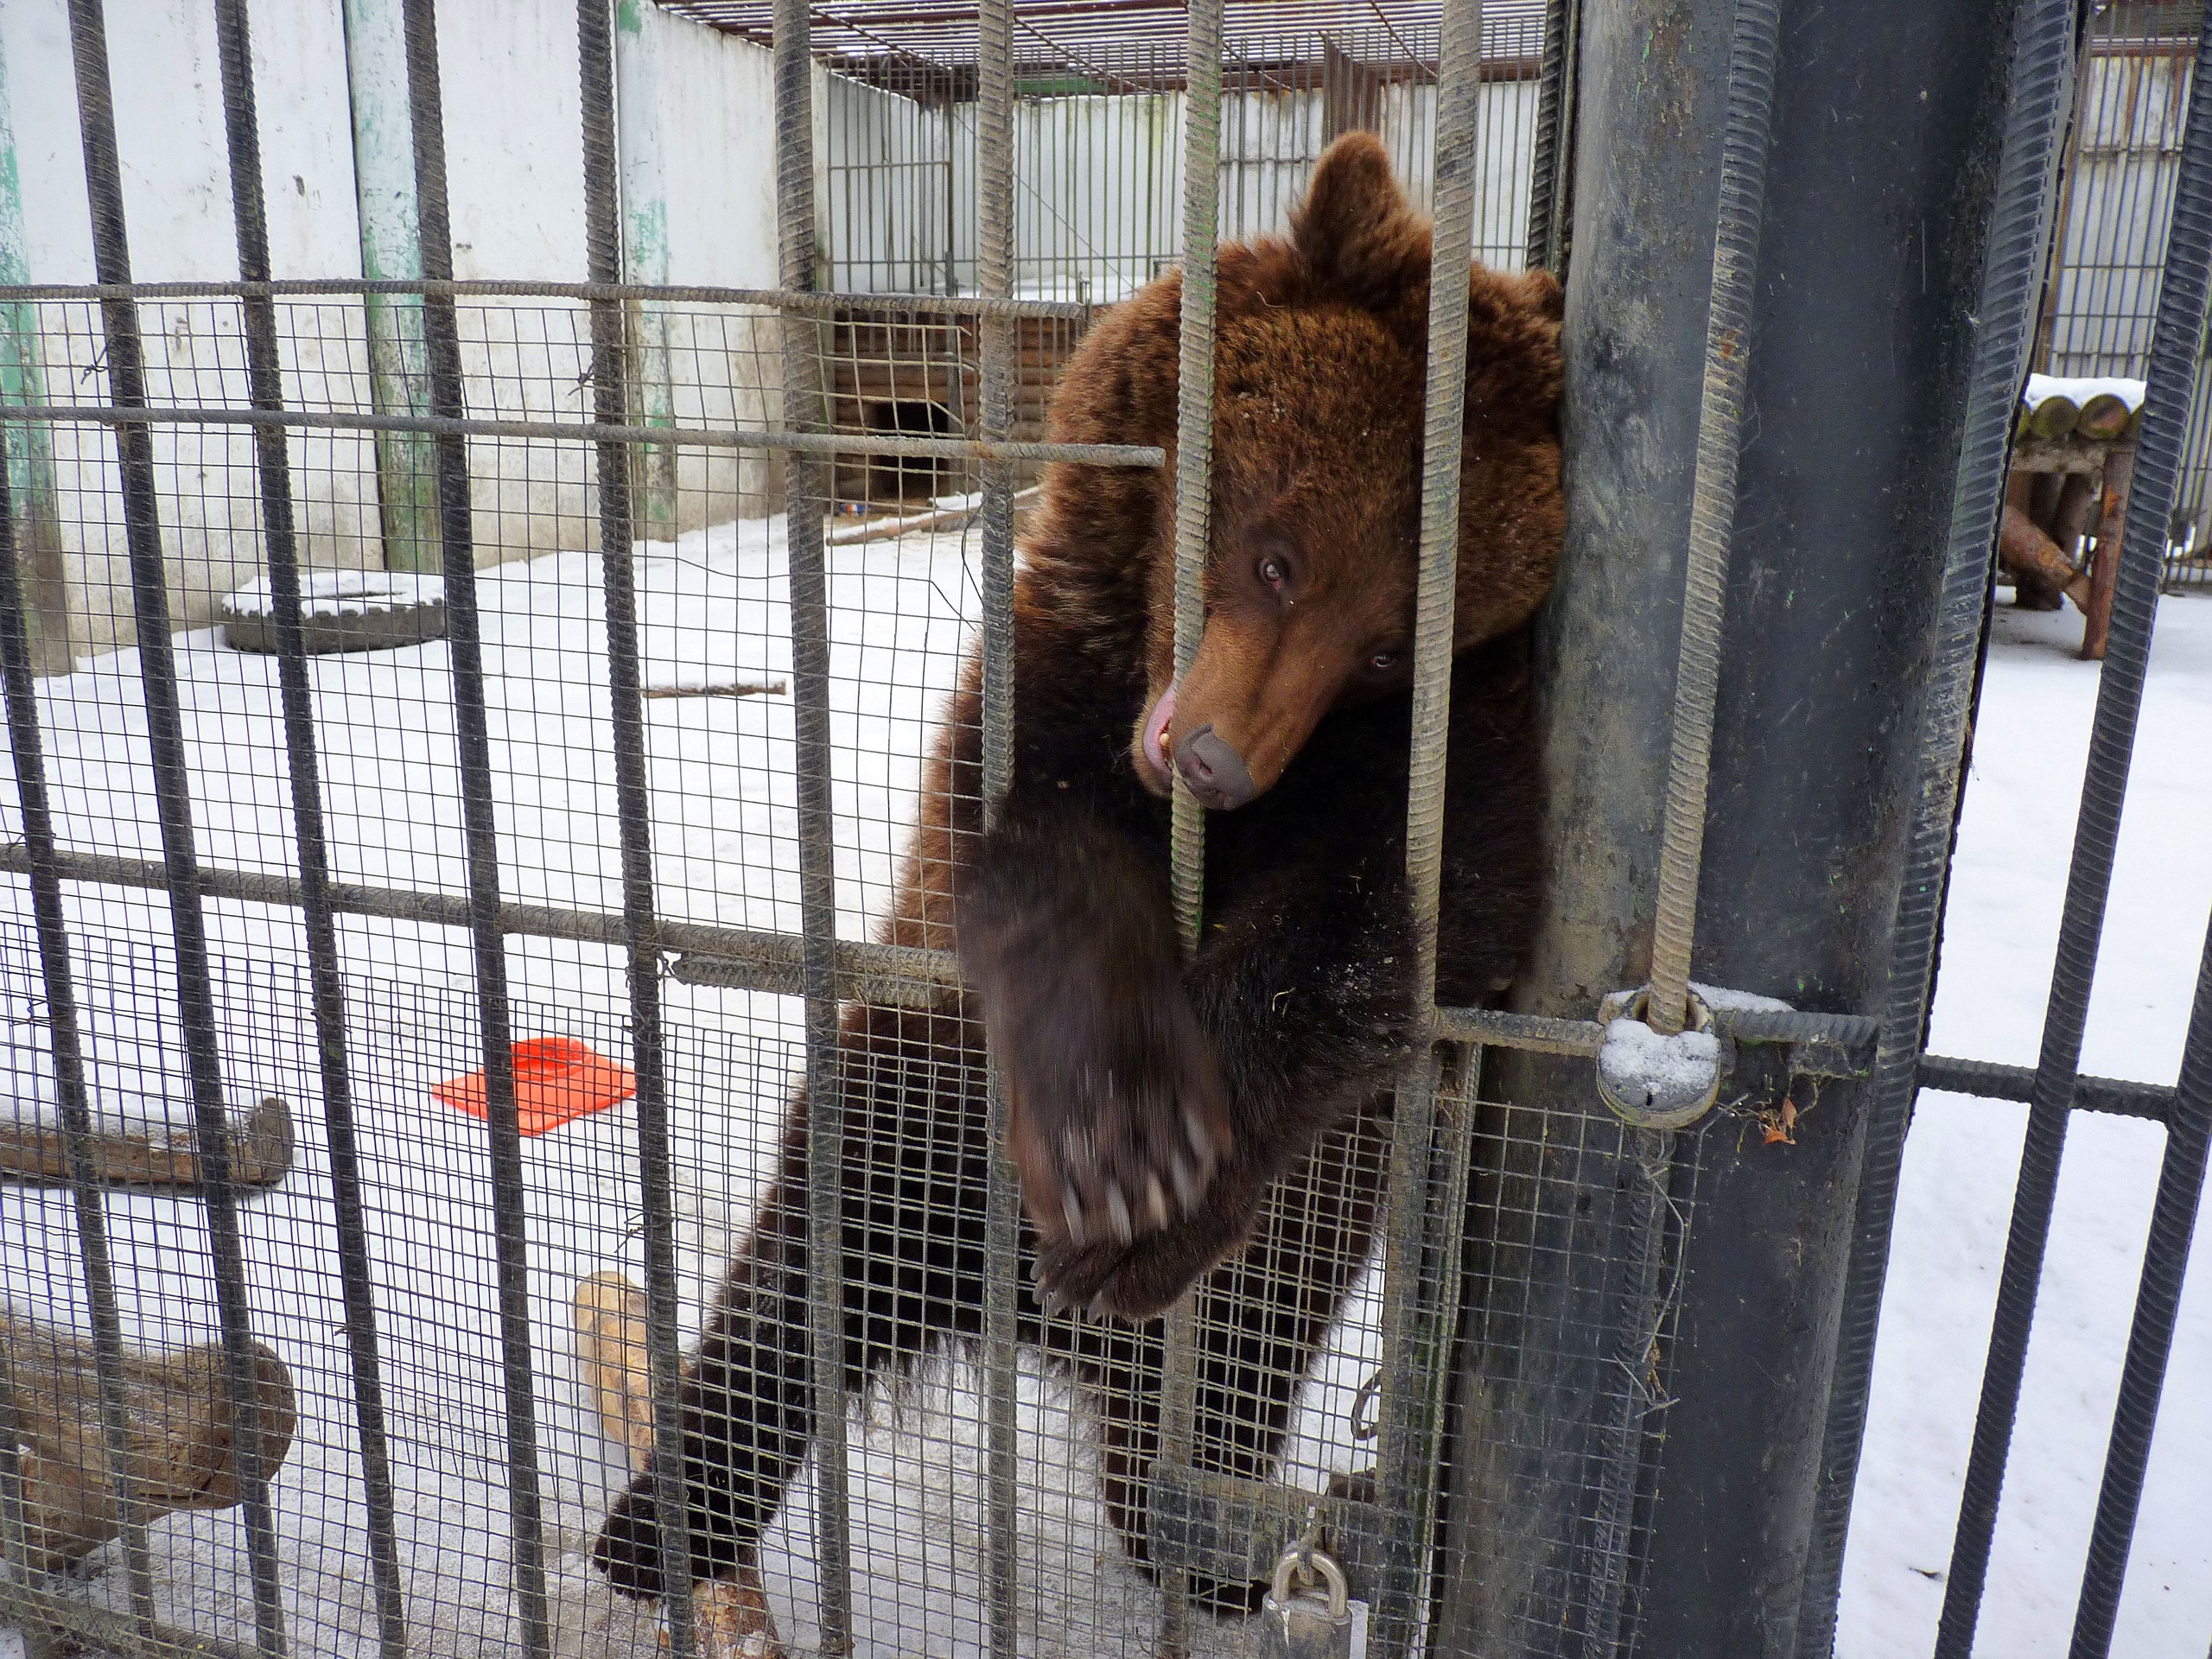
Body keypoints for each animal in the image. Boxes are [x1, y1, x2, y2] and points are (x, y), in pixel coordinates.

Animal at [588, 133, 1557, 1654]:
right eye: (1279, 555)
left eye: (1390, 648)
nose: (1221, 760)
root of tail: (1029, 1334)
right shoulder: (1039, 697)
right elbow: (1037, 873)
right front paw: (1121, 1127)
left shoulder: (1442, 775)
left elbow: (1367, 942)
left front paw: (1156, 1184)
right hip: (922, 1120)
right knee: (813, 1267)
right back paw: (667, 1517)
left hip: (1273, 1282)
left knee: (1210, 1415)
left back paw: (1218, 1545)